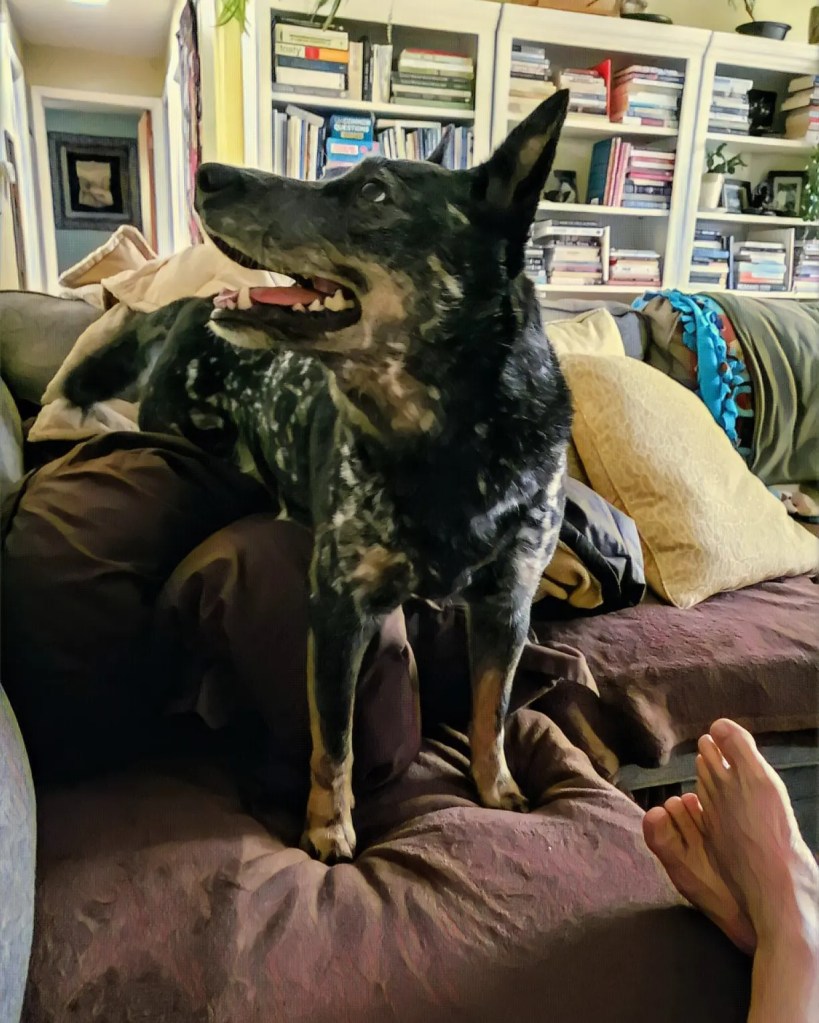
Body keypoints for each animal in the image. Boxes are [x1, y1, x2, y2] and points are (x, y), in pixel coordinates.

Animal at [64, 91, 572, 863]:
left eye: (373, 192)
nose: (207, 172)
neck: (445, 444)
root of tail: (190, 304)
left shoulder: (505, 606)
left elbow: (492, 709)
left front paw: (499, 788)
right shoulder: (338, 609)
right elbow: (334, 740)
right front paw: (329, 826)